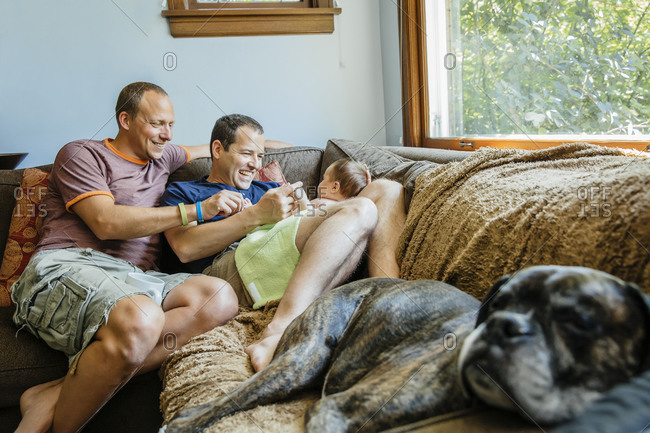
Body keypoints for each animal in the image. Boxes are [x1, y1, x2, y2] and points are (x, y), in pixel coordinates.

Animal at [163, 264, 648, 430]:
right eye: (497, 305)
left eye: (578, 321)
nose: (502, 326)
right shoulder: (337, 410)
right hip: (304, 359)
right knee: (229, 398)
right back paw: (186, 421)